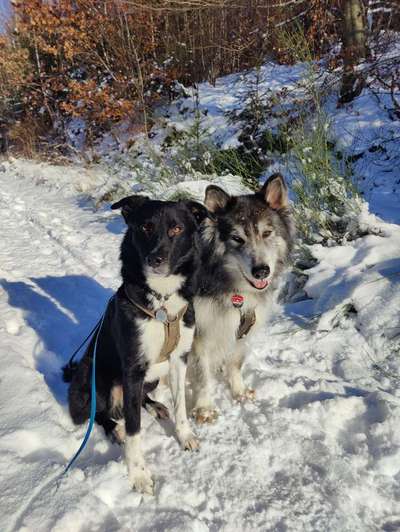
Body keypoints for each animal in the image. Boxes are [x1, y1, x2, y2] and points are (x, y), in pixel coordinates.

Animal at [63, 195, 206, 494]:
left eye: (176, 228)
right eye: (145, 227)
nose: (155, 259)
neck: (161, 303)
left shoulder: (179, 360)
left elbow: (181, 407)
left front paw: (185, 435)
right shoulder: (132, 369)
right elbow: (134, 430)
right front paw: (139, 474)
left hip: (153, 378)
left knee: (140, 399)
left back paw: (154, 406)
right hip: (95, 376)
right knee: (99, 414)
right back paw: (114, 428)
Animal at [189, 172, 296, 422]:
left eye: (267, 233)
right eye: (237, 239)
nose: (262, 271)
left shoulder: (242, 330)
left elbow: (235, 364)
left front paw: (239, 392)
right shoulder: (199, 334)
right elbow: (202, 375)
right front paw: (204, 407)